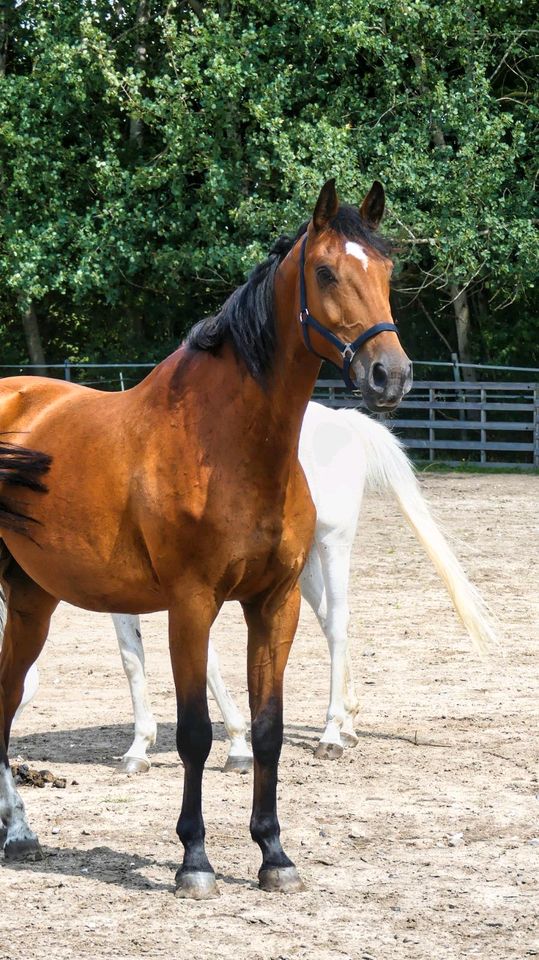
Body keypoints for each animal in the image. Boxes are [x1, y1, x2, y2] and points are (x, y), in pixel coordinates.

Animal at [0, 182, 414, 900]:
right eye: (326, 271)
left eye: (386, 271)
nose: (389, 374)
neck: (223, 443)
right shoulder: (190, 605)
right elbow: (194, 732)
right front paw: (194, 859)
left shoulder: (273, 604)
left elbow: (269, 729)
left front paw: (273, 853)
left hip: (30, 603)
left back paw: (19, 833)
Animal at [5, 404, 498, 772]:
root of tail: (342, 418)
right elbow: (133, 660)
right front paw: (139, 748)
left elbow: (204, 662)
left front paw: (238, 745)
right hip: (301, 566)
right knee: (328, 624)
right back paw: (349, 722)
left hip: (332, 542)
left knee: (339, 626)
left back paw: (332, 735)